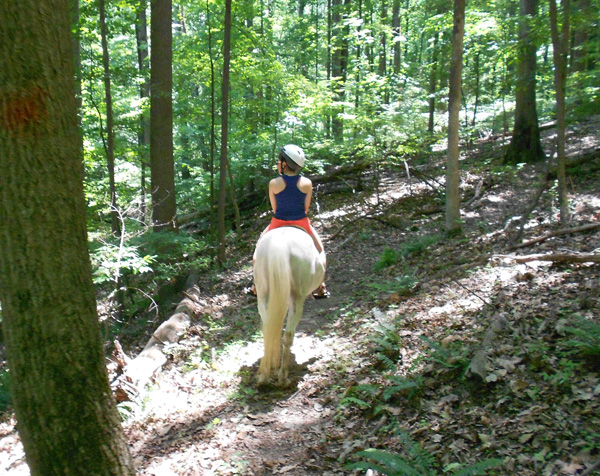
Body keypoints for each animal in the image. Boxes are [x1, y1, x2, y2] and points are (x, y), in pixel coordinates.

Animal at [253, 225, 328, 384]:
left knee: (268, 330)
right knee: (288, 334)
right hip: (297, 299)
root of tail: (280, 243)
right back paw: (283, 377)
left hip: (262, 296)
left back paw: (265, 375)